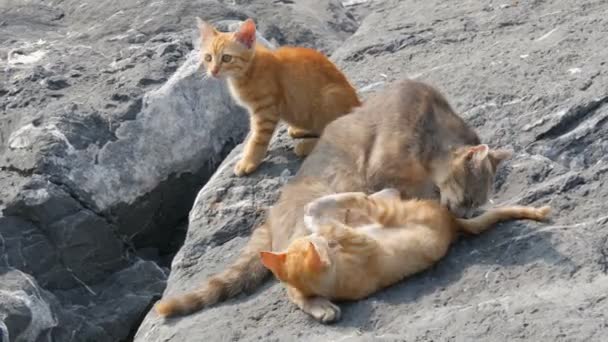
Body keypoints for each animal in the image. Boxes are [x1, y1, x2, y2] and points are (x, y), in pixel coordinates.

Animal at [197, 18, 360, 176]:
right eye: (208, 58)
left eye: (226, 58)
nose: (213, 71)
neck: (249, 71)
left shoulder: (266, 110)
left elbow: (257, 138)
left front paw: (248, 162)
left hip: (328, 98)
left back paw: (305, 146)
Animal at [260, 190, 552, 324]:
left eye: (302, 243)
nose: (322, 242)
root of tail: (453, 224)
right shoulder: (359, 243)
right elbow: (329, 225)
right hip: (393, 212)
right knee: (371, 198)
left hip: (376, 215)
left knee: (376, 197)